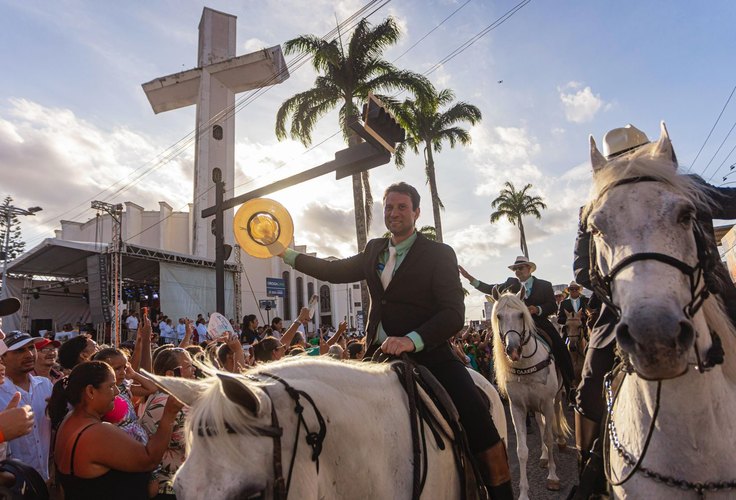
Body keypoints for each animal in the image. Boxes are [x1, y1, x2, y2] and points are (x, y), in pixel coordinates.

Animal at [492, 292, 572, 498]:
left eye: (521, 314)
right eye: (499, 316)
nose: (513, 350)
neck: (525, 366)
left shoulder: (547, 403)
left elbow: (549, 438)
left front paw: (553, 478)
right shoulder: (518, 408)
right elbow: (522, 450)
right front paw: (523, 493)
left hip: (556, 398)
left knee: (557, 413)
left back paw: (561, 441)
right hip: (534, 406)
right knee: (540, 423)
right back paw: (543, 456)